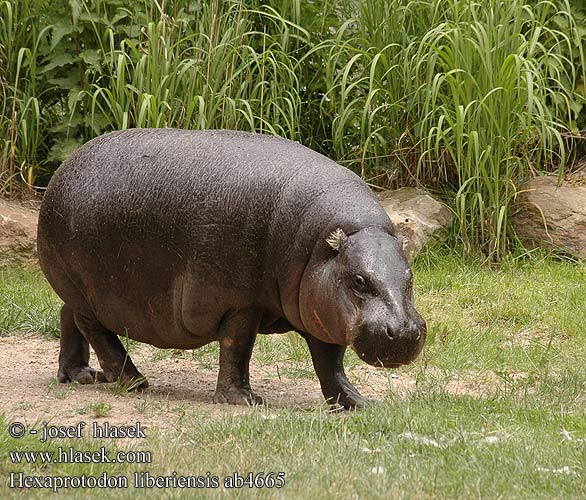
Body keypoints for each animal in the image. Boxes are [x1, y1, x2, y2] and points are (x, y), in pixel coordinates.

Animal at [38, 127, 426, 408]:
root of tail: (62, 170)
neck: (321, 245)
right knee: (96, 331)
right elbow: (237, 346)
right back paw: (133, 381)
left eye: (410, 279)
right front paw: (244, 400)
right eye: (358, 280)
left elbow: (330, 362)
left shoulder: (320, 307)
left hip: (79, 290)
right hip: (84, 287)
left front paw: (362, 403)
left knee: (67, 315)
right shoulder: (241, 303)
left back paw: (80, 375)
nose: (405, 332)